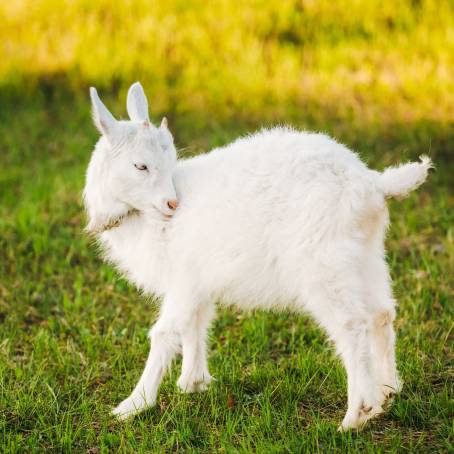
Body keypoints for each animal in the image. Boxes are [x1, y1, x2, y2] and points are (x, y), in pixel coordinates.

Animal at [82, 83, 432, 430]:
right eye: (141, 166)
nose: (172, 204)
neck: (146, 219)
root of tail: (372, 183)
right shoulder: (197, 282)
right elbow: (196, 324)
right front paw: (193, 382)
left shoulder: (184, 281)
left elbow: (164, 334)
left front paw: (133, 405)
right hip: (365, 254)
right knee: (381, 315)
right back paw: (388, 393)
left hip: (323, 264)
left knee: (352, 325)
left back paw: (356, 416)